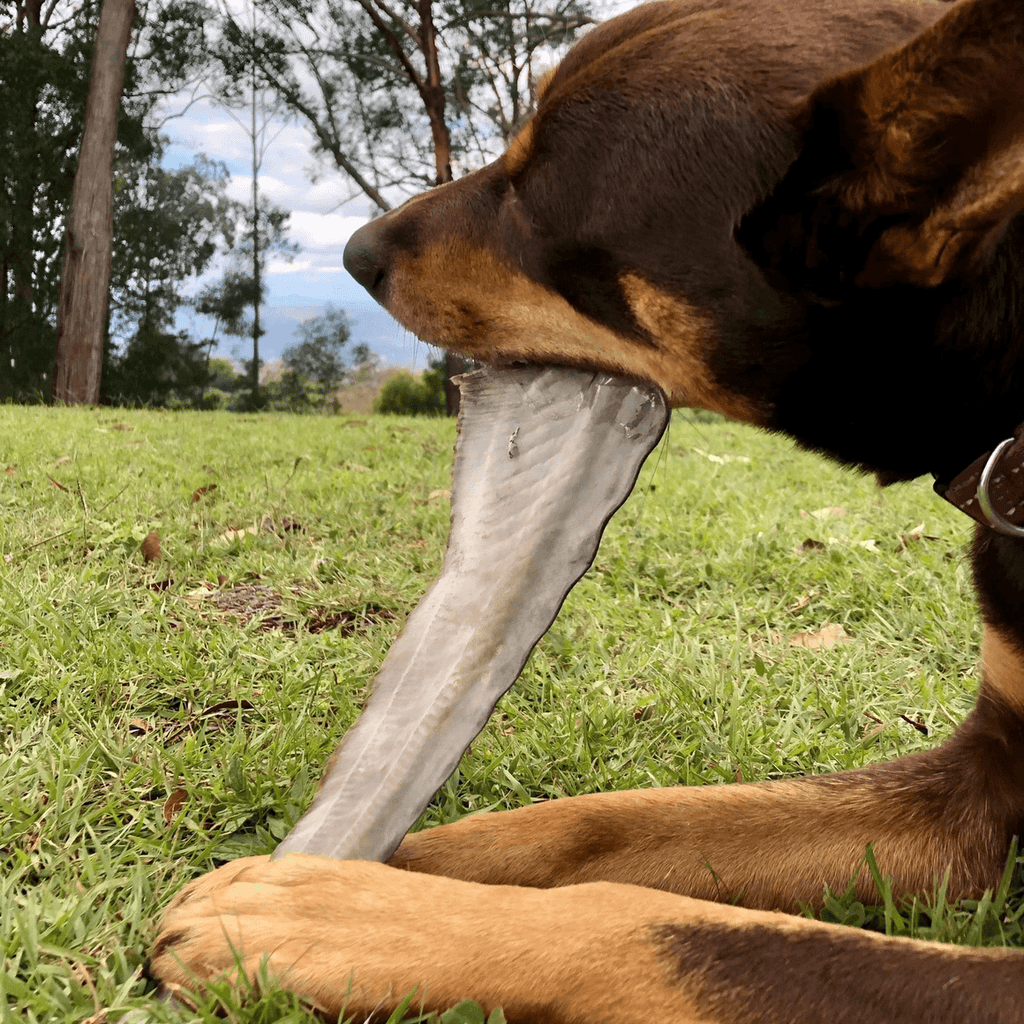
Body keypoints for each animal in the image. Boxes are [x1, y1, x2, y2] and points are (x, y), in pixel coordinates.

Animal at [149, 4, 1024, 1019]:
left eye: (541, 200)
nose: (354, 251)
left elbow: (696, 936)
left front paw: (332, 914)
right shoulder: (976, 786)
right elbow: (603, 825)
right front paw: (382, 866)